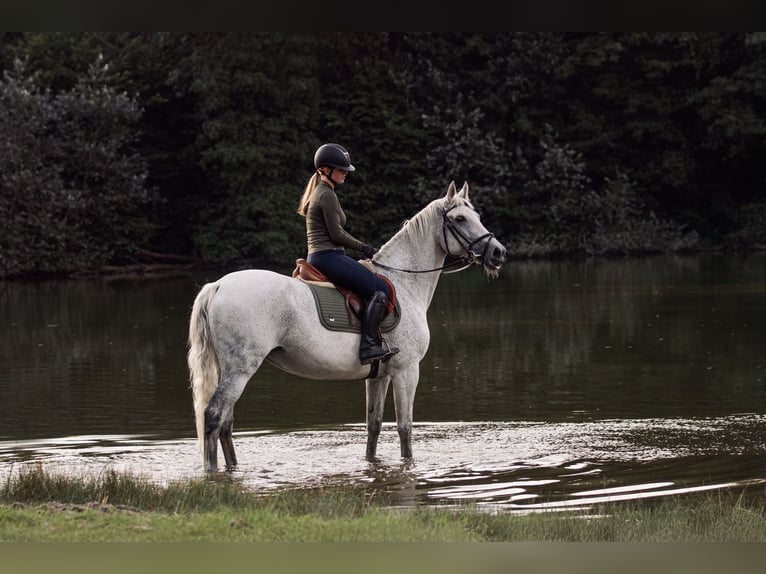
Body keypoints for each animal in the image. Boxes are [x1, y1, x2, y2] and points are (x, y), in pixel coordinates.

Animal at [187, 180, 506, 472]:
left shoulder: (379, 375)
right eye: (460, 219)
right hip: (241, 368)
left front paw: (371, 464)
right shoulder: (406, 370)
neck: (405, 281)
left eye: (477, 215)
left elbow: (374, 425)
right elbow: (405, 428)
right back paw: (212, 474)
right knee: (214, 416)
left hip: (230, 369)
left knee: (225, 423)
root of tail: (217, 285)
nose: (498, 253)